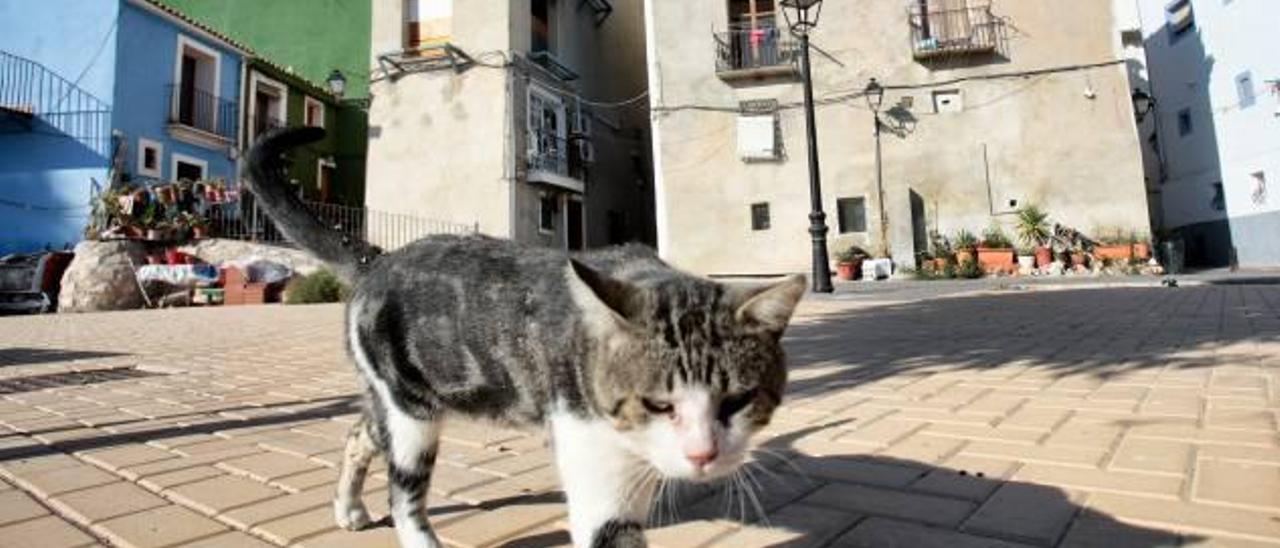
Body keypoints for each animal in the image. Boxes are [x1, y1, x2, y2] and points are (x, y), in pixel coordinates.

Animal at [244, 126, 803, 545]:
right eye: (659, 404)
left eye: (738, 400)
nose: (702, 456)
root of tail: (375, 258)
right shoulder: (593, 457)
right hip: (411, 417)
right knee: (402, 495)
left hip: (390, 400)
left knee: (359, 434)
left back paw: (348, 507)